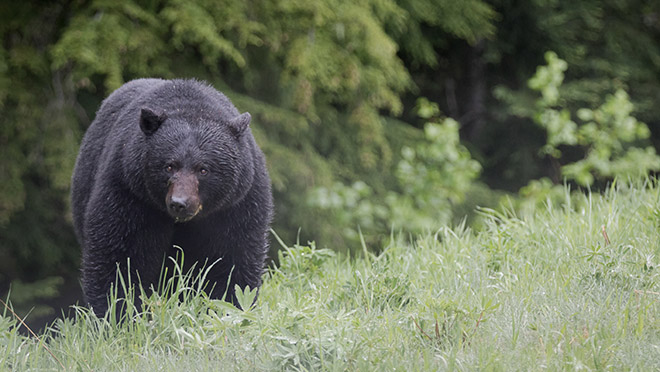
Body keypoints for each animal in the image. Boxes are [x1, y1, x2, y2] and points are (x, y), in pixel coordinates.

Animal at [73, 78, 274, 316]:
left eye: (203, 169)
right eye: (169, 166)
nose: (179, 203)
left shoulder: (238, 204)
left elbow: (233, 257)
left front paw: (228, 305)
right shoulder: (128, 191)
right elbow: (118, 255)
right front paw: (119, 312)